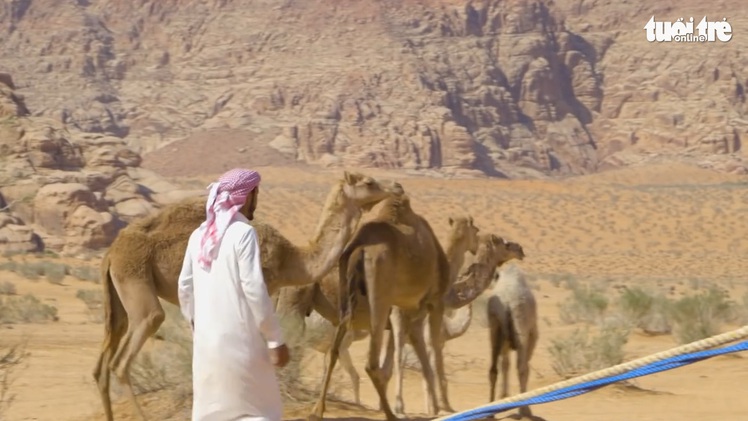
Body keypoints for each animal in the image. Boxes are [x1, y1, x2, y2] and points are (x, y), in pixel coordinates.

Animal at [95, 170, 406, 420]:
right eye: (369, 182)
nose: (398, 187)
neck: (292, 258)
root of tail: (111, 252)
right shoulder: (262, 287)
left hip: (119, 297)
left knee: (103, 364)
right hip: (136, 281)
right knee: (126, 355)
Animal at [486, 262, 536, 416]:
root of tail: (507, 302)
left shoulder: (505, 340)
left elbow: (505, 364)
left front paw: (503, 396)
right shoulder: (532, 334)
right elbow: (524, 366)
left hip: (495, 327)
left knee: (494, 368)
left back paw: (491, 409)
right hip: (521, 324)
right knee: (522, 367)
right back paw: (524, 409)